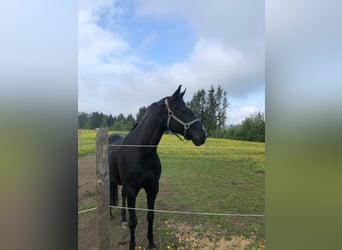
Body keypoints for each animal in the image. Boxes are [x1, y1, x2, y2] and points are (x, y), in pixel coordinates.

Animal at [108, 85, 207, 249]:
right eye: (183, 110)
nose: (203, 134)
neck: (142, 152)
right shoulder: (132, 190)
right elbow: (134, 221)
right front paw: (132, 245)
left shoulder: (153, 188)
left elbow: (150, 216)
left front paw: (151, 243)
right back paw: (109, 214)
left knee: (121, 195)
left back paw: (123, 217)